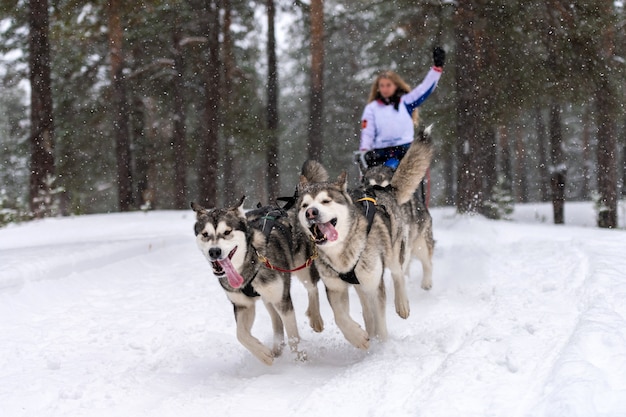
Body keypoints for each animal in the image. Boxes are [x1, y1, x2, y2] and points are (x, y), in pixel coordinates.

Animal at [190, 198, 320, 364]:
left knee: (312, 288)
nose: (214, 251)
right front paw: (263, 354)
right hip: (267, 298)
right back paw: (276, 349)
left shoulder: (282, 300)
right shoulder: (242, 305)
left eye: (227, 232)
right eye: (205, 234)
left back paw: (316, 318)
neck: (248, 266)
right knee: (276, 320)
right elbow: (241, 334)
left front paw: (301, 360)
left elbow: (293, 336)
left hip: (303, 268)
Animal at [294, 131, 432, 348]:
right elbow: (340, 317)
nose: (311, 213)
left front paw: (382, 346)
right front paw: (358, 337)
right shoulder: (335, 288)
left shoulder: (374, 285)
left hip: (395, 251)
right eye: (304, 205)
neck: (342, 252)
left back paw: (401, 303)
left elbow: (380, 318)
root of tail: (383, 190)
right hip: (361, 284)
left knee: (398, 273)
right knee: (367, 310)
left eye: (326, 201)